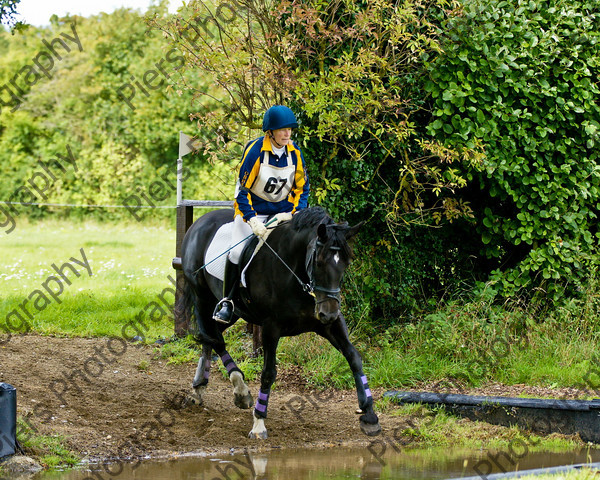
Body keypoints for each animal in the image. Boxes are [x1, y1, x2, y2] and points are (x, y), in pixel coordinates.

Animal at [176, 206, 380, 438]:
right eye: (318, 262)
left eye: (346, 262)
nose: (329, 313)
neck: (297, 274)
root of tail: (200, 221)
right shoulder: (271, 327)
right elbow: (268, 373)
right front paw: (258, 423)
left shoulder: (329, 324)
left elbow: (354, 357)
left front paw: (370, 415)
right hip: (202, 297)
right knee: (213, 338)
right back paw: (240, 390)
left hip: (234, 312)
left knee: (211, 336)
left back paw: (200, 387)